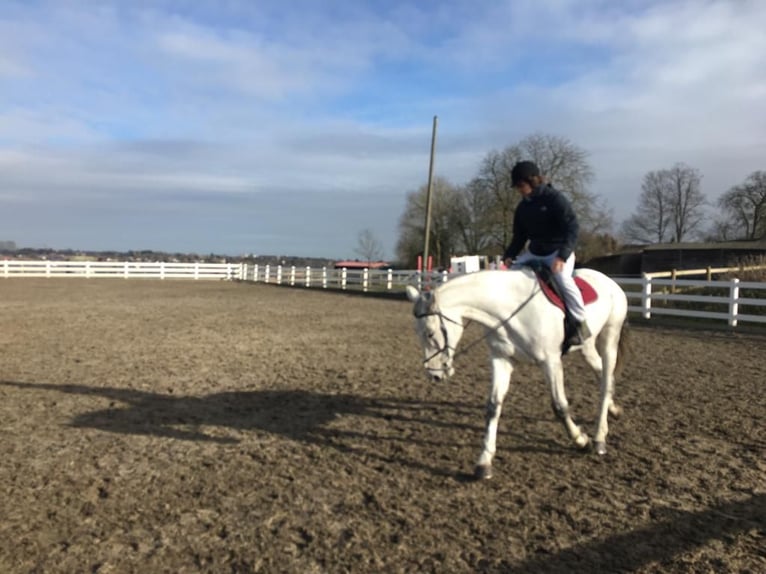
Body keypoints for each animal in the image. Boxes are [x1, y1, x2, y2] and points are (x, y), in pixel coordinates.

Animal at [408, 270, 632, 482]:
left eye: (430, 333)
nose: (434, 375)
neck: (510, 310)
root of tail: (608, 280)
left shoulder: (551, 362)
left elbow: (559, 407)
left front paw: (581, 440)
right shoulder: (501, 359)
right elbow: (493, 407)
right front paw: (484, 462)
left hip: (609, 338)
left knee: (605, 380)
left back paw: (599, 438)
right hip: (587, 346)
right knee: (603, 374)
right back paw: (614, 410)